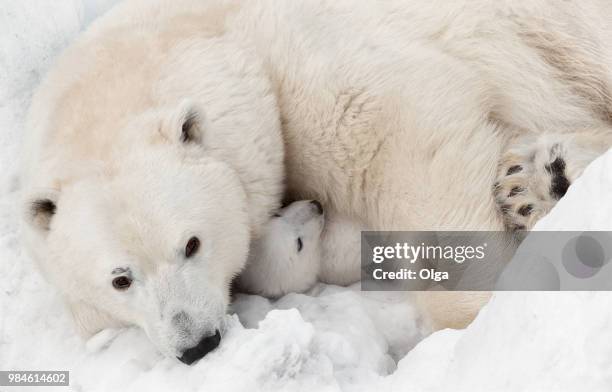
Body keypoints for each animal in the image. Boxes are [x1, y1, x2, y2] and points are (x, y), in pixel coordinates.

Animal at [19, 0, 612, 362]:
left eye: (191, 244)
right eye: (120, 279)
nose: (195, 346)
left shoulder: (317, 65)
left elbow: (413, 149)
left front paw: (478, 319)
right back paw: (538, 181)